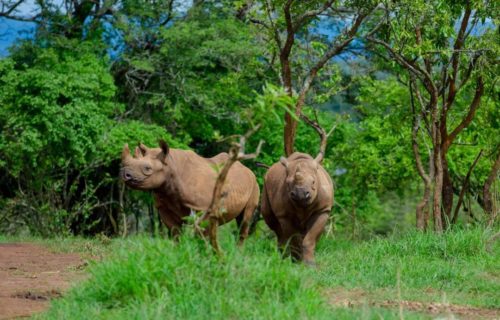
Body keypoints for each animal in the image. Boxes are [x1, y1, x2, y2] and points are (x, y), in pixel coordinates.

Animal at [120, 141, 262, 241]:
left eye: (147, 168)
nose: (125, 174)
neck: (171, 166)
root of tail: (247, 170)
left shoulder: (204, 207)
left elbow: (201, 233)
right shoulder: (164, 205)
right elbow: (175, 233)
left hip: (254, 185)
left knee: (245, 219)